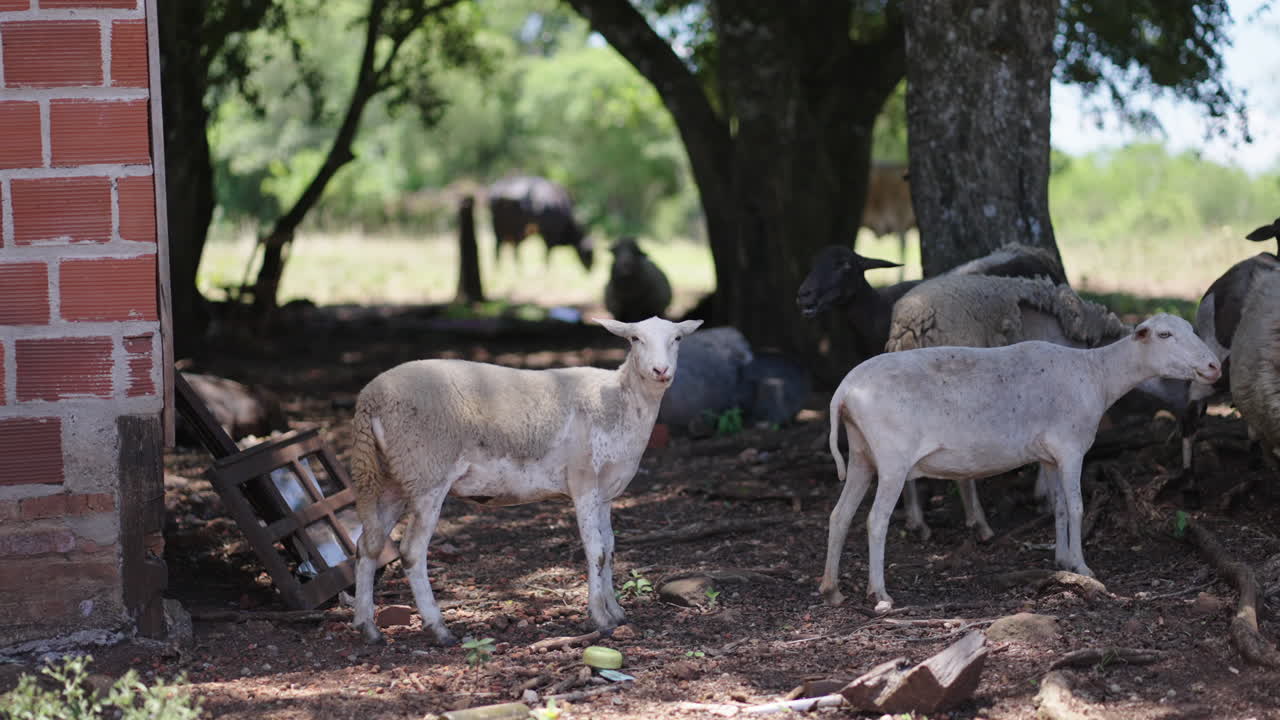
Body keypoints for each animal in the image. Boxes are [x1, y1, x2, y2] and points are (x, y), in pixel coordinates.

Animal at [348, 316, 703, 645]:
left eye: (677, 338)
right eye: (634, 338)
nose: (661, 370)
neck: (620, 399)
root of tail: (369, 398)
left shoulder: (604, 492)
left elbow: (611, 550)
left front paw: (616, 611)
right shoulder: (583, 482)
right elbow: (596, 551)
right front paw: (600, 618)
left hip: (394, 476)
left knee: (368, 545)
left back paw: (368, 628)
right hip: (427, 471)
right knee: (411, 552)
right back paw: (439, 629)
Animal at [820, 314, 1220, 611]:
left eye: (1192, 330)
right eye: (1165, 335)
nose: (1214, 366)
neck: (1098, 375)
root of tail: (843, 391)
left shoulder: (1049, 455)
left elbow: (1059, 507)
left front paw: (1062, 560)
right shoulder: (1071, 447)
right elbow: (1077, 506)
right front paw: (1083, 567)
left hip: (861, 454)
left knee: (839, 516)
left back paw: (831, 589)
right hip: (892, 457)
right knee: (875, 521)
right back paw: (880, 594)